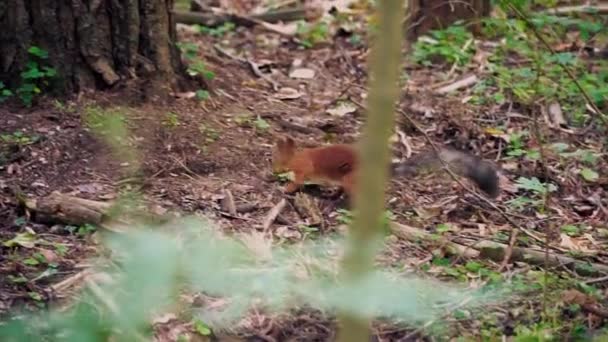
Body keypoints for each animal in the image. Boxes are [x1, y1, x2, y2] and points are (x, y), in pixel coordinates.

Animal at [270, 136, 498, 198]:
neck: (297, 157)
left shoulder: (304, 169)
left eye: (277, 159)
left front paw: (286, 188)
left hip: (352, 178)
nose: (273, 171)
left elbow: (297, 181)